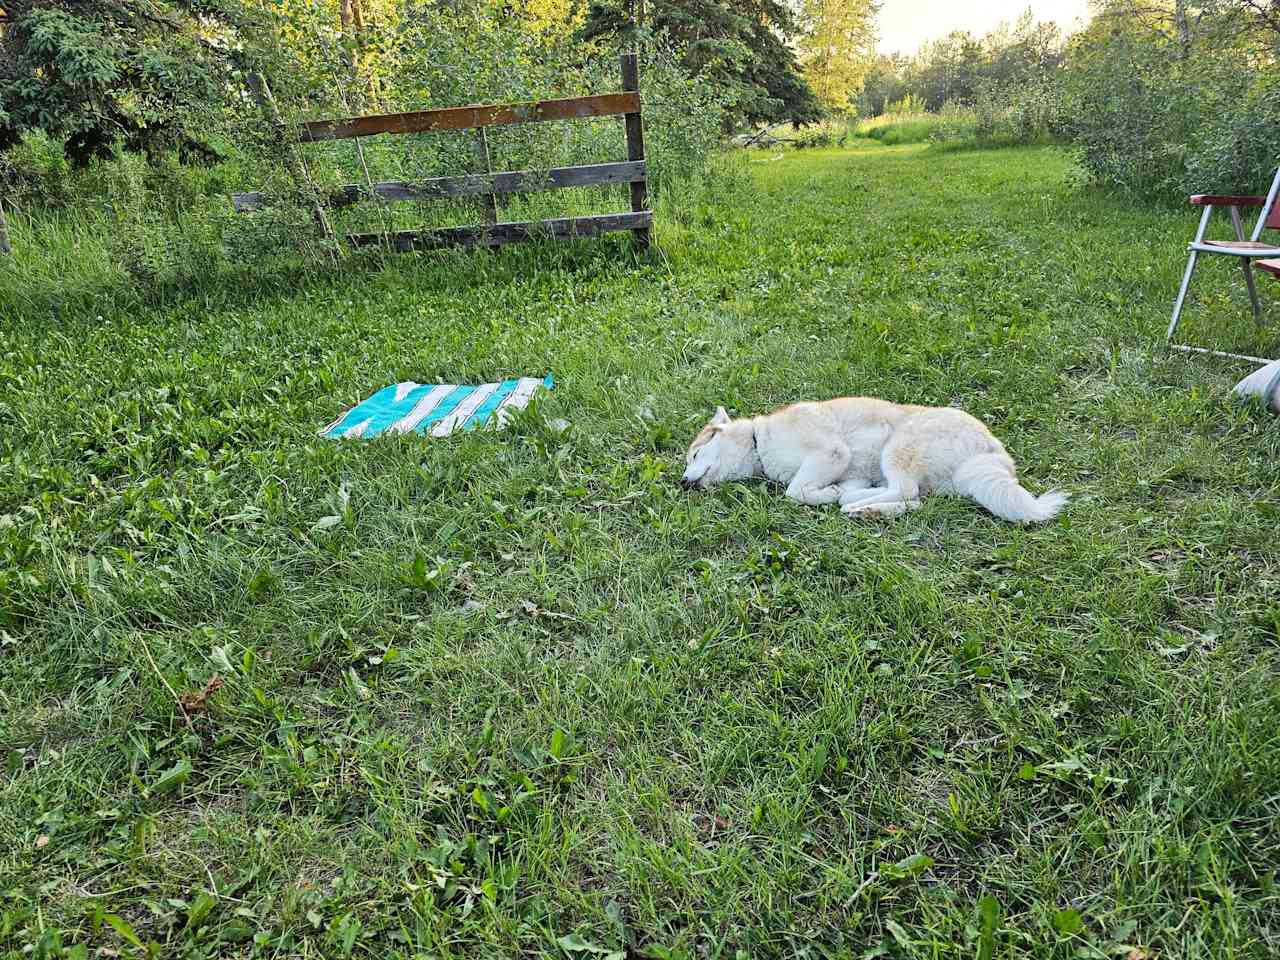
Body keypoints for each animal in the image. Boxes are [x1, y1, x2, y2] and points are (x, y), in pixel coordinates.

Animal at [680, 396, 1070, 522]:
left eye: (695, 454)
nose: (683, 482)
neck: (759, 441)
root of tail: (995, 453)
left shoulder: (831, 453)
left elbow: (794, 491)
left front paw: (824, 494)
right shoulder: (846, 470)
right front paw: (833, 493)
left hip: (897, 446)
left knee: (906, 492)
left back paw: (861, 507)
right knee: (913, 500)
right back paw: (864, 507)